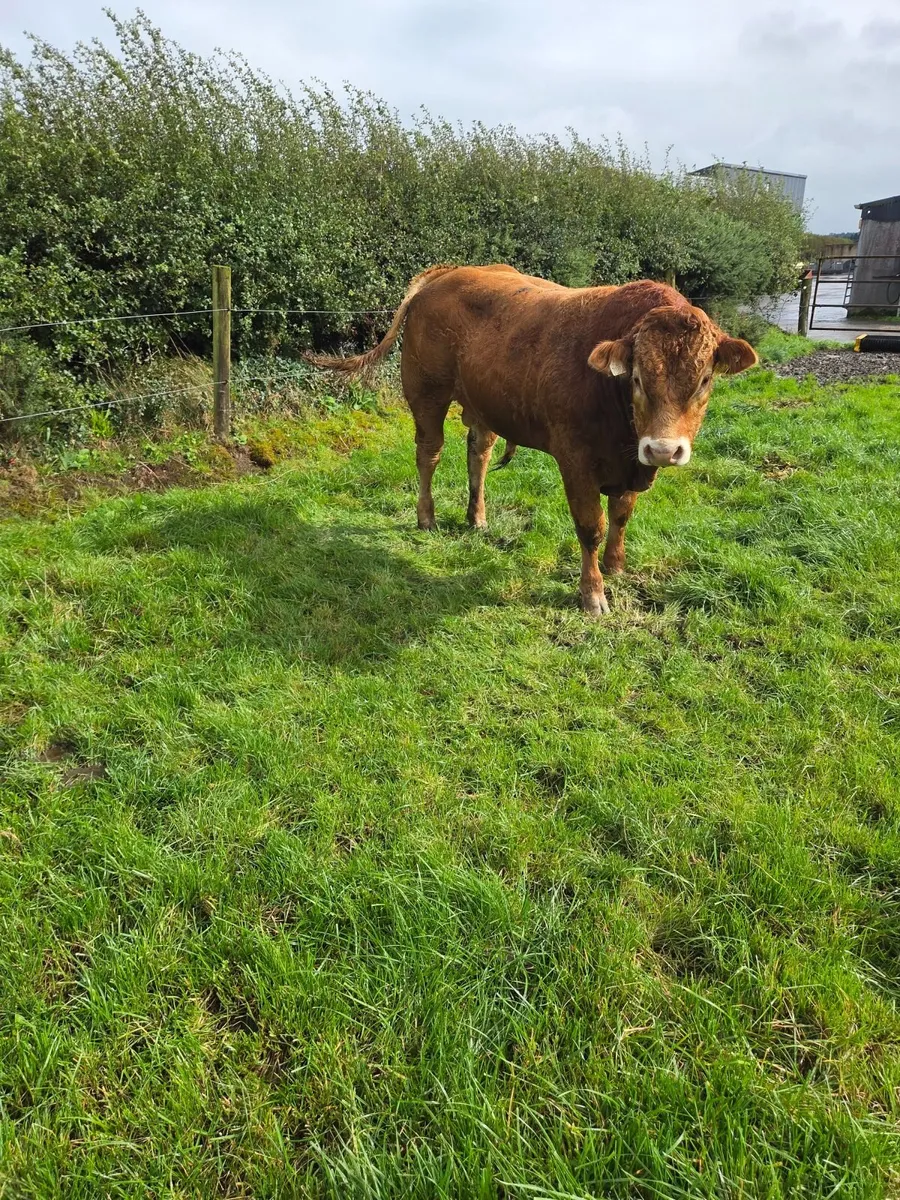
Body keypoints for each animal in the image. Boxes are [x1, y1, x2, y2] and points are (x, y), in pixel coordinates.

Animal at [308, 264, 758, 615]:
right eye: (637, 378)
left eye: (704, 380)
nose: (664, 449)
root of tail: (448, 273)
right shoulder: (576, 461)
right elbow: (591, 527)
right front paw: (593, 594)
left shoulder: (634, 460)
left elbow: (621, 515)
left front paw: (616, 566)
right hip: (426, 393)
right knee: (429, 454)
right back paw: (427, 517)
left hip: (484, 403)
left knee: (478, 452)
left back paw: (477, 518)